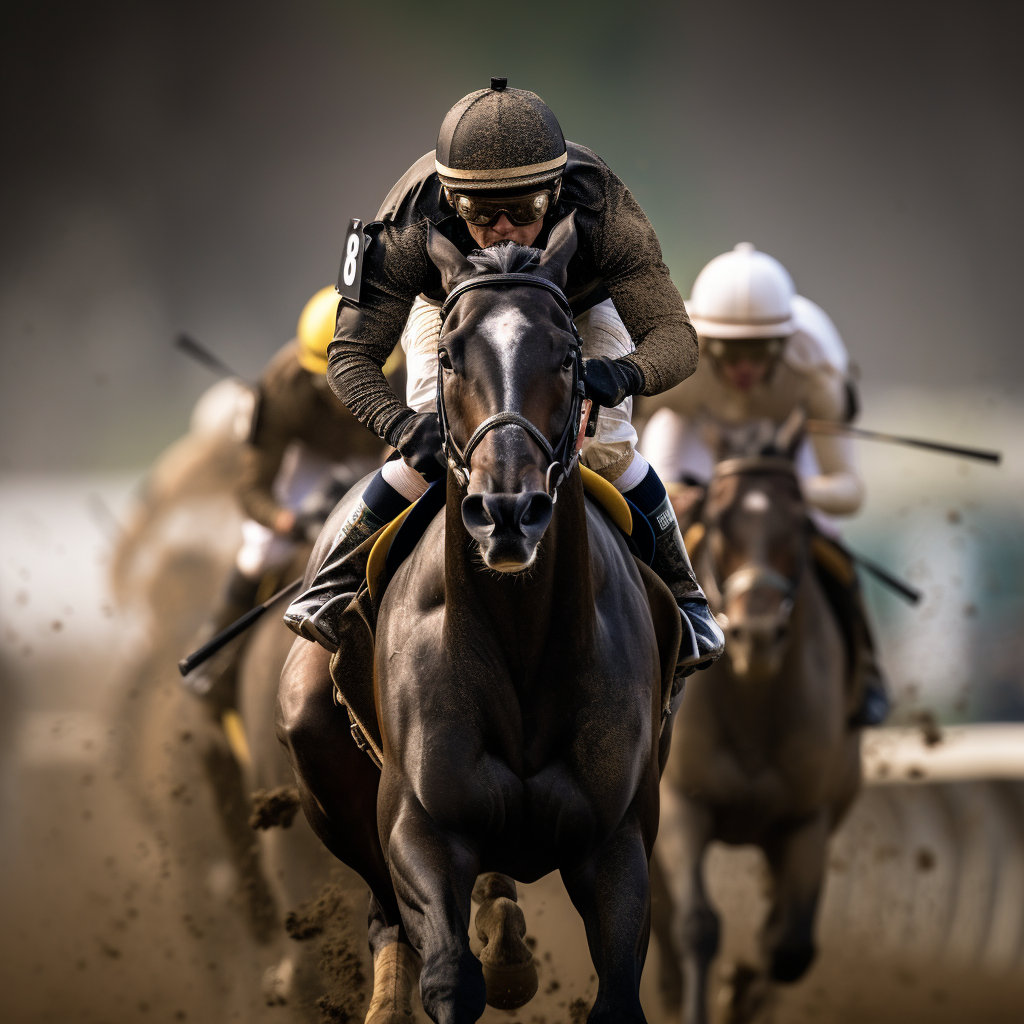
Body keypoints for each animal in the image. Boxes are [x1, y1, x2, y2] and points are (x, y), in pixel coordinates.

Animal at [276, 218, 684, 1024]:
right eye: (449, 356)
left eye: (569, 356)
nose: (507, 510)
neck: (521, 636)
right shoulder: (423, 826)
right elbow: (448, 976)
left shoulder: (617, 838)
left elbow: (618, 994)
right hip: (328, 766)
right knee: (387, 915)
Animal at [651, 413, 860, 1024]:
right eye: (720, 523)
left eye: (799, 524)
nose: (759, 635)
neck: (753, 701)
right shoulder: (683, 803)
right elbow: (696, 925)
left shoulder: (805, 820)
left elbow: (787, 945)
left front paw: (739, 988)